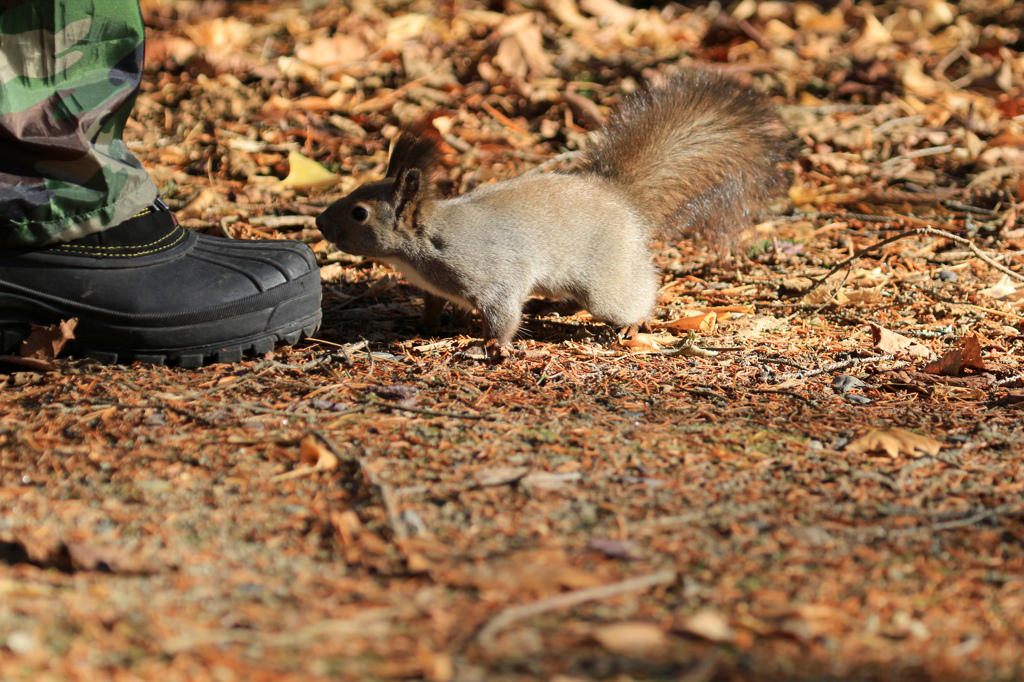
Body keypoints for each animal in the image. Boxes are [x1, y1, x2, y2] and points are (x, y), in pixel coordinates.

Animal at [315, 68, 786, 356]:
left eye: (359, 213)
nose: (319, 222)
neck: (424, 244)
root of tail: (622, 199)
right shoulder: (433, 287)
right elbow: (433, 306)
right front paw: (424, 327)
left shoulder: (492, 274)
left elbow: (503, 312)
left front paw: (494, 346)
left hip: (606, 281)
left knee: (635, 294)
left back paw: (633, 325)